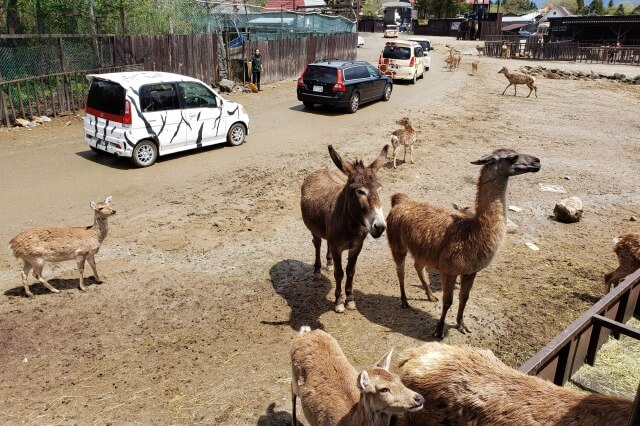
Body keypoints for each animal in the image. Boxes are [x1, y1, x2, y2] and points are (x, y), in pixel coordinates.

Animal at [302, 146, 388, 312]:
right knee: (317, 244)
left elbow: (350, 271)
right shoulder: (337, 248)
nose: (380, 227)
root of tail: (321, 170)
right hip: (314, 230)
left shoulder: (356, 246)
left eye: (380, 189)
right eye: (360, 191)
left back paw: (328, 264)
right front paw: (338, 301)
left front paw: (349, 299)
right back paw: (317, 271)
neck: (352, 225)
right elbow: (339, 273)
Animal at [384, 151, 540, 338]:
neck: (472, 232)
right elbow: (447, 301)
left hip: (422, 250)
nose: (537, 161)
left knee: (418, 266)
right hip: (397, 244)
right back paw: (404, 301)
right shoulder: (449, 270)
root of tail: (400, 200)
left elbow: (464, 299)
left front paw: (461, 325)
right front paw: (439, 330)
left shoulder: (470, 271)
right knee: (400, 272)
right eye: (512, 157)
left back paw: (430, 295)